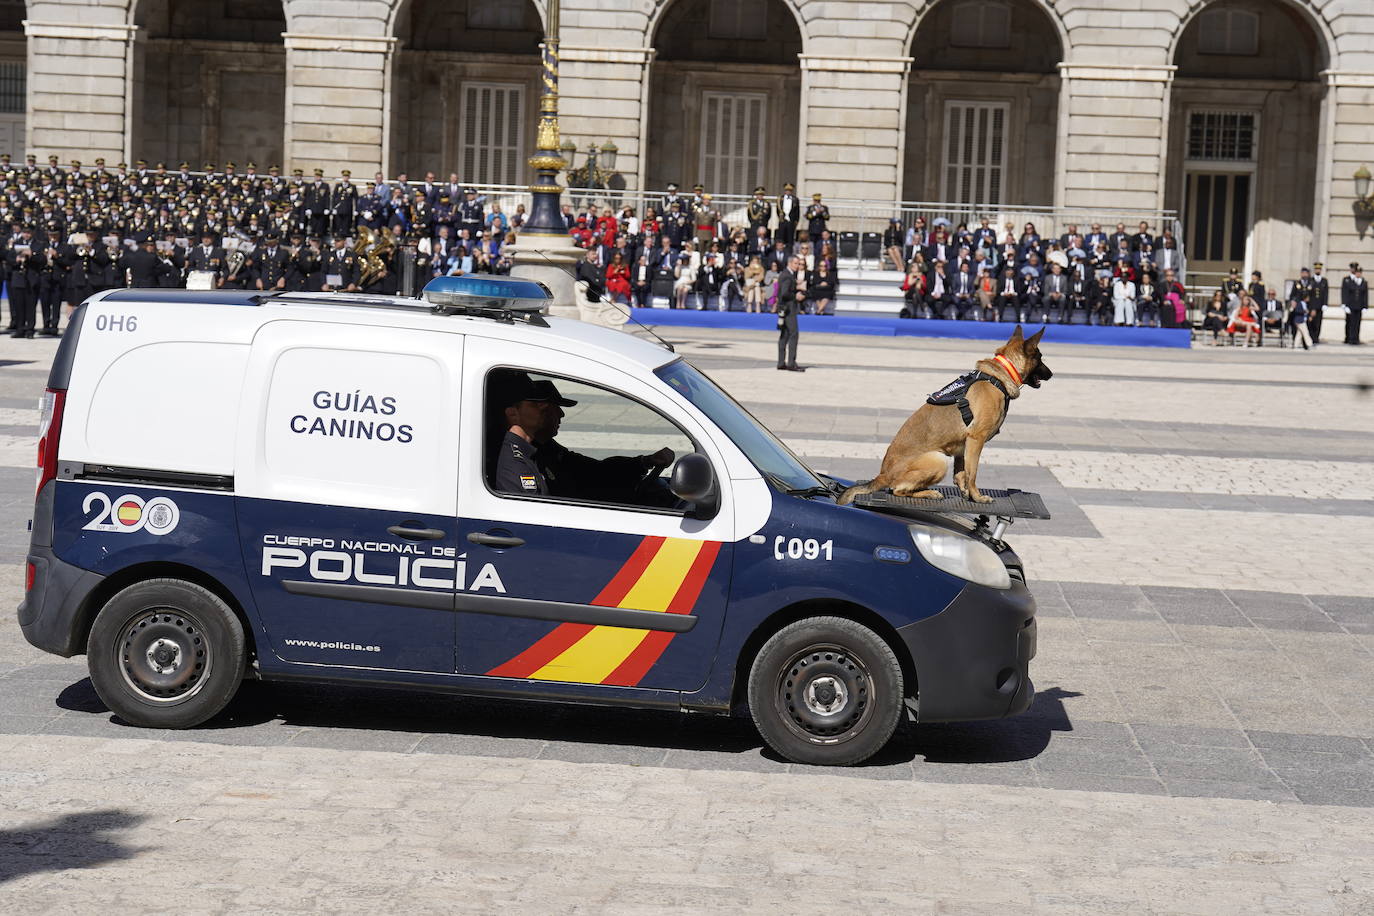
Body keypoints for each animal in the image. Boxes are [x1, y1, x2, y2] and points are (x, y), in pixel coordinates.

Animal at [835, 325, 1049, 505]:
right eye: (1041, 358)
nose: (1052, 374)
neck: (998, 377)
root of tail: (882, 474)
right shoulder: (976, 438)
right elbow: (972, 473)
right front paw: (977, 497)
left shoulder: (964, 444)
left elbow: (961, 473)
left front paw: (966, 493)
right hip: (938, 459)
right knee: (897, 490)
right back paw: (929, 493)